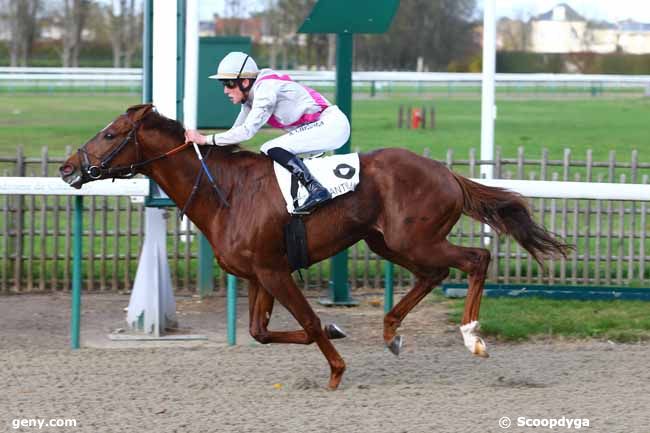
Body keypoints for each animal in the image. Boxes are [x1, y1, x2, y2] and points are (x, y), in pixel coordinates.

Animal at [60, 104, 568, 388]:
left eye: (110, 134)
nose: (68, 167)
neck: (225, 191)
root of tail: (446, 172)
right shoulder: (260, 274)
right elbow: (262, 332)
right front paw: (336, 330)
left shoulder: (274, 271)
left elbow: (304, 320)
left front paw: (337, 370)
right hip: (388, 242)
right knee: (435, 273)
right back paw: (391, 332)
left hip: (413, 238)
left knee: (475, 259)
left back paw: (472, 337)